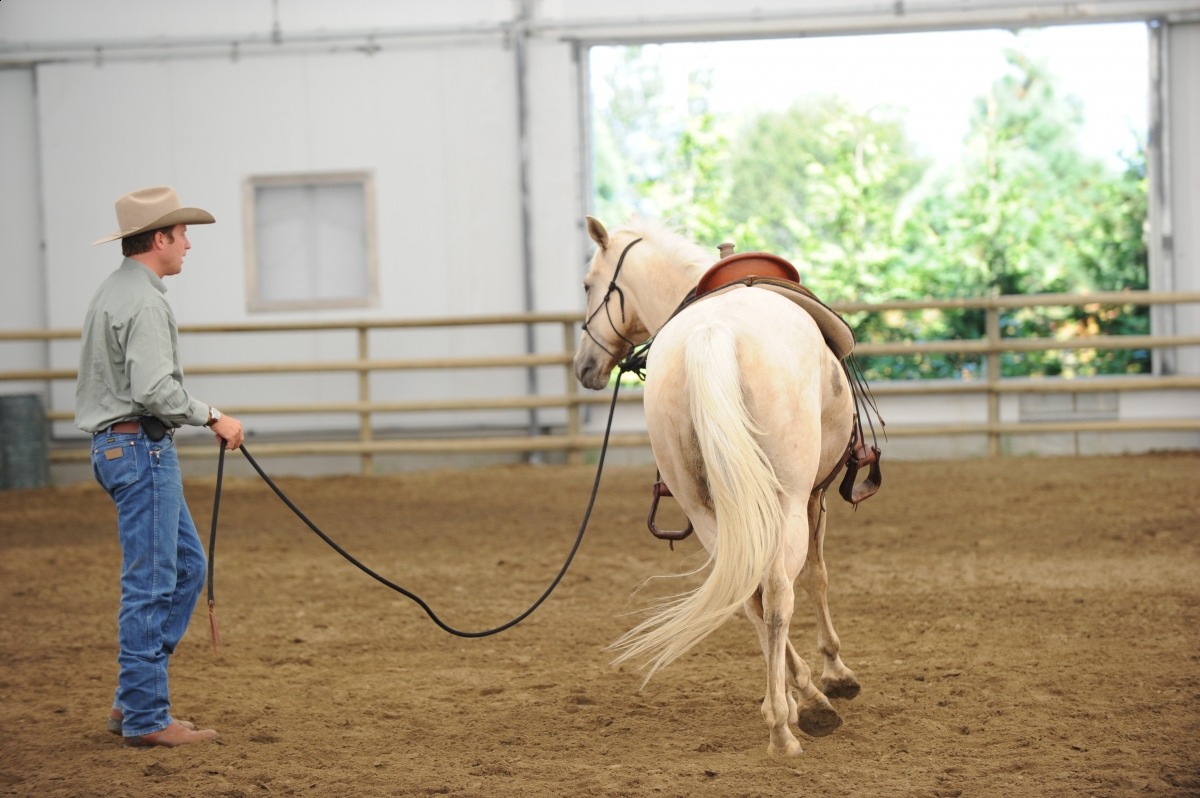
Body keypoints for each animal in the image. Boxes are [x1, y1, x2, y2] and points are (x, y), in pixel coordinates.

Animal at [573, 216, 863, 756]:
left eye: (586, 285)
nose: (584, 367)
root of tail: (715, 331)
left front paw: (799, 691)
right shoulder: (816, 497)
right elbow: (817, 577)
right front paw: (835, 675)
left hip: (708, 513)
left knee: (750, 595)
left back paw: (791, 707)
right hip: (786, 503)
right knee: (777, 593)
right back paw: (790, 726)